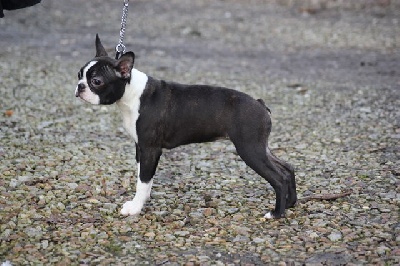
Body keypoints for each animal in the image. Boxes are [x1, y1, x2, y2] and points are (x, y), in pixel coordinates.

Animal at [75, 34, 296, 218]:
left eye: (96, 81)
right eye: (79, 74)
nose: (79, 86)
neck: (132, 93)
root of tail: (260, 103)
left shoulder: (150, 149)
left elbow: (143, 180)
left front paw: (135, 208)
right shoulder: (140, 148)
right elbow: (143, 178)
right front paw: (143, 200)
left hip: (249, 149)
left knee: (278, 179)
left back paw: (277, 213)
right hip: (260, 147)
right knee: (287, 169)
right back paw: (291, 203)